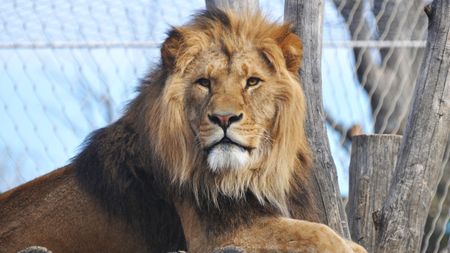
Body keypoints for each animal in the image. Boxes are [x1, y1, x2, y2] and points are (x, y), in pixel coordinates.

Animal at [0, 7, 366, 253]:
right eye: (204, 82)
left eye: (252, 82)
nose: (223, 119)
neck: (255, 174)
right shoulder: (214, 237)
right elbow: (319, 234)